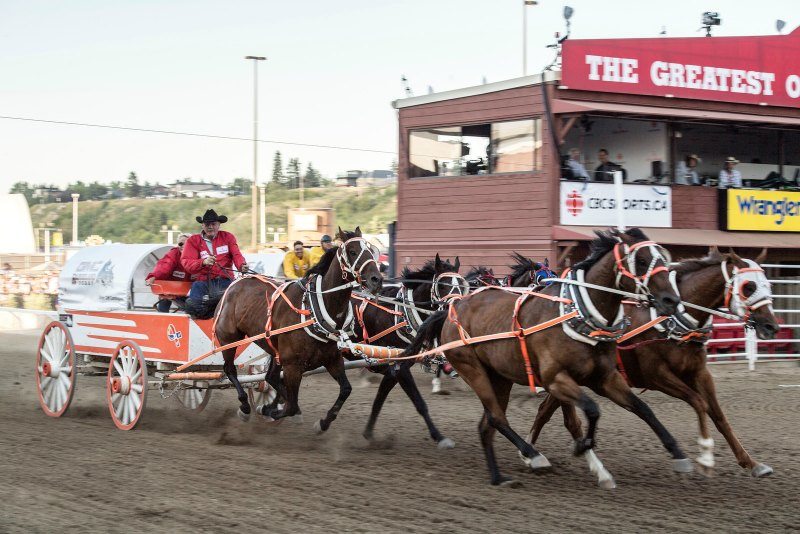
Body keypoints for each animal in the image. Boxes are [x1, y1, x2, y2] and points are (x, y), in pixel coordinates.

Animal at [214, 228, 382, 434]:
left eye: (371, 250)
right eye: (352, 251)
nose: (377, 279)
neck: (313, 311)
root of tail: (235, 284)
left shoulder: (332, 359)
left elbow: (345, 389)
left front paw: (323, 422)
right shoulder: (292, 366)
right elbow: (291, 406)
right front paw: (269, 409)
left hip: (275, 350)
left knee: (269, 377)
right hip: (228, 339)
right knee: (230, 370)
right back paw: (245, 408)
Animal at [406, 228, 688, 488]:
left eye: (664, 258)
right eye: (641, 260)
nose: (671, 300)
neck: (576, 315)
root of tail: (452, 309)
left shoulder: (605, 378)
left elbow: (642, 408)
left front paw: (678, 454)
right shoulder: (556, 379)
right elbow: (591, 410)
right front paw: (581, 446)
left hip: (499, 377)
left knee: (487, 424)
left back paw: (498, 477)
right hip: (472, 369)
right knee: (496, 418)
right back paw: (533, 455)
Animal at [528, 249, 780, 484]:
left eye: (767, 284)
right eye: (748, 286)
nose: (772, 326)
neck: (673, 321)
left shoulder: (699, 373)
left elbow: (718, 416)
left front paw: (752, 463)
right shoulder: (656, 375)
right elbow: (698, 402)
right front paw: (706, 458)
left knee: (545, 411)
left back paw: (532, 452)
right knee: (555, 415)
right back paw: (533, 453)